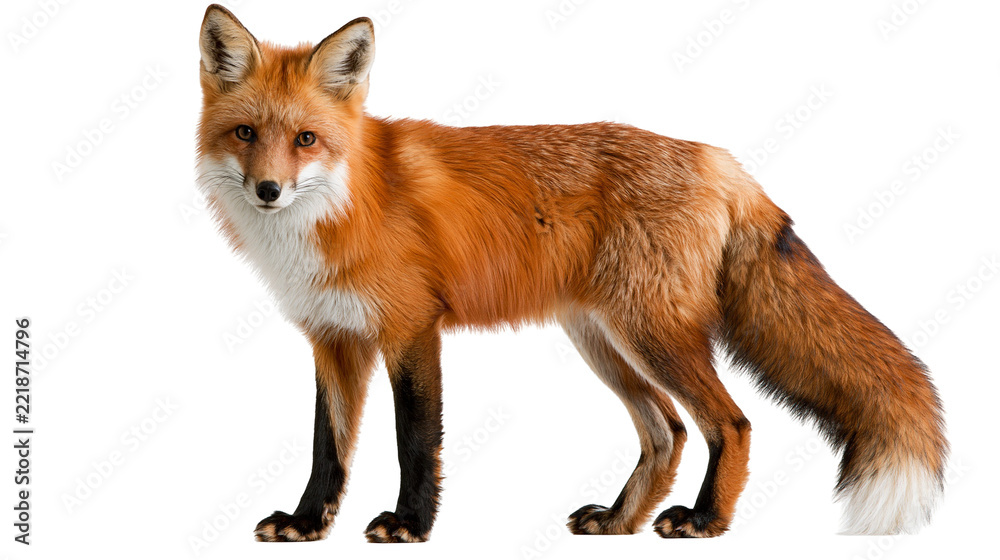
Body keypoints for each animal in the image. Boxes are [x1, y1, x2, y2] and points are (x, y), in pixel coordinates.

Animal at [195, 4, 947, 543]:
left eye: (306, 140)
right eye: (245, 134)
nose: (268, 190)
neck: (346, 204)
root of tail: (718, 159)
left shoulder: (411, 328)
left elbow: (415, 441)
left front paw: (409, 524)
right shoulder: (334, 339)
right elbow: (328, 448)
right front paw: (306, 523)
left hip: (651, 336)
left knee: (729, 424)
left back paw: (705, 520)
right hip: (603, 341)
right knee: (666, 432)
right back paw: (619, 521)